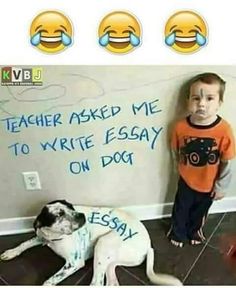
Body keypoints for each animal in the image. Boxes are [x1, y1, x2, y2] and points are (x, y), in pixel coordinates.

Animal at [0, 200, 183, 286]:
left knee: (96, 283)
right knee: (109, 283)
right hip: (109, 261)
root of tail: (148, 245)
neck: (55, 237)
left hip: (103, 244)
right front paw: (10, 252)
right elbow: (24, 243)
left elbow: (48, 282)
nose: (81, 216)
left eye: (71, 207)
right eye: (59, 214)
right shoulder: (41, 236)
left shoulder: (74, 263)